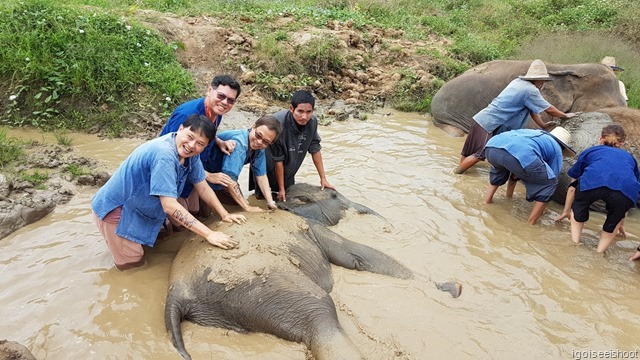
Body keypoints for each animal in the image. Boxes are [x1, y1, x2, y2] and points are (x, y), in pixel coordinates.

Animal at [162, 184, 458, 360]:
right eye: (335, 195)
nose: (387, 227)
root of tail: (177, 290)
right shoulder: (313, 229)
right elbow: (356, 255)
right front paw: (452, 288)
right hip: (259, 284)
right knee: (321, 315)